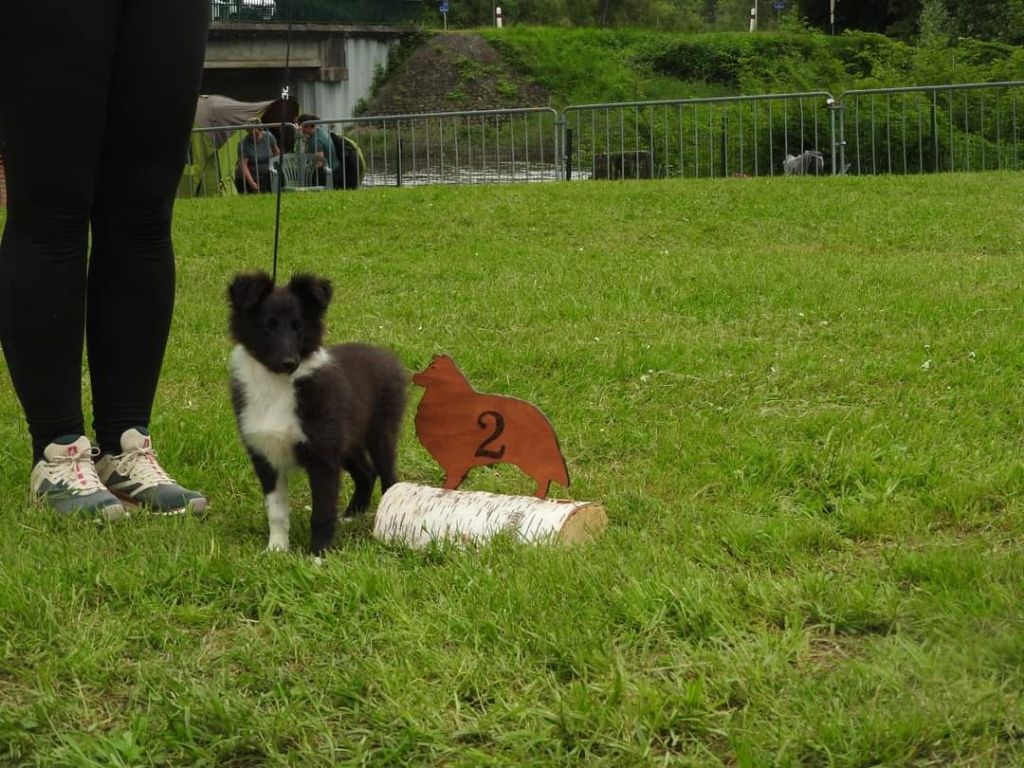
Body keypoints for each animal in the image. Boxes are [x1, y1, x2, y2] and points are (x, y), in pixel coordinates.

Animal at [228, 274, 407, 557]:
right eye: (268, 326)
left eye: (298, 326)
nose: (289, 362)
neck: (277, 386)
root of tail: (387, 356)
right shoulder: (265, 456)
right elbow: (276, 512)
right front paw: (276, 550)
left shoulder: (323, 457)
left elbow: (322, 512)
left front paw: (317, 556)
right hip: (348, 441)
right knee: (366, 473)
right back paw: (351, 515)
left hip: (380, 432)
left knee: (389, 477)